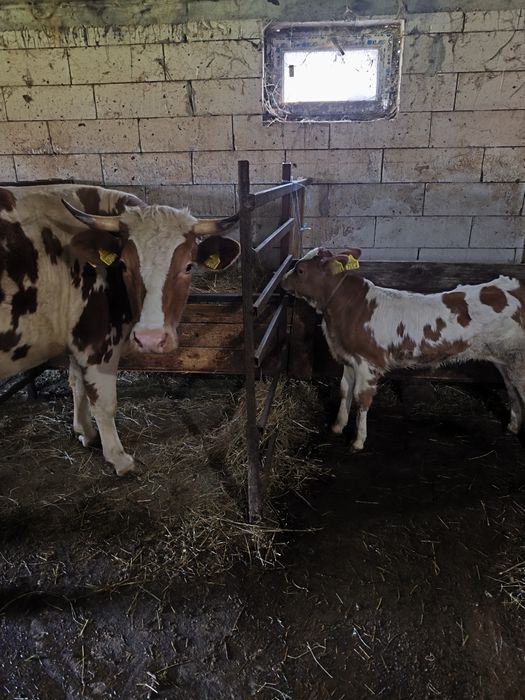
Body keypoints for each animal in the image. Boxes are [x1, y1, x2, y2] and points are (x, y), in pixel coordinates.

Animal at [0, 184, 239, 475]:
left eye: (189, 266)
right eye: (123, 264)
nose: (150, 339)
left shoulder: (76, 337)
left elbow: (76, 383)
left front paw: (85, 431)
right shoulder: (96, 341)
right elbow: (104, 404)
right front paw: (119, 458)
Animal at [282, 247, 525, 451]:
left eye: (300, 270)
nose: (282, 281)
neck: (348, 307)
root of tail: (513, 286)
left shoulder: (368, 363)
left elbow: (362, 399)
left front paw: (358, 440)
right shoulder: (349, 358)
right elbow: (344, 390)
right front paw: (337, 426)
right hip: (505, 358)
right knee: (512, 390)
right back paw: (513, 426)